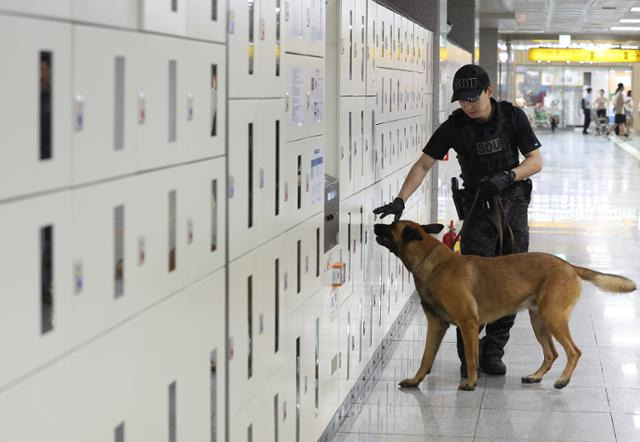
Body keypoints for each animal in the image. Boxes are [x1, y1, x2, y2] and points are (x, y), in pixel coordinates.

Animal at [372, 221, 636, 390]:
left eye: (391, 225)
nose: (375, 223)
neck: (431, 261)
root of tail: (568, 265)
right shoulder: (436, 326)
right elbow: (426, 358)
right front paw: (415, 381)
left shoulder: (468, 324)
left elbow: (471, 358)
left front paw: (471, 382)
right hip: (539, 322)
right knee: (551, 353)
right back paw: (535, 377)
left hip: (553, 318)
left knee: (573, 351)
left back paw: (563, 381)